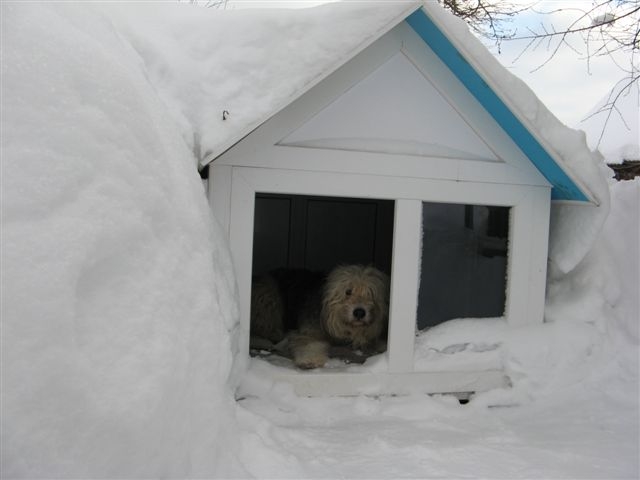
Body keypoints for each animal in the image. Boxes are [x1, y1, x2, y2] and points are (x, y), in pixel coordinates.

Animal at [250, 264, 390, 370]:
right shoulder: (309, 332)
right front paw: (310, 360)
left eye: (370, 293)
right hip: (268, 297)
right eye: (348, 291)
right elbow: (309, 343)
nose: (360, 312)